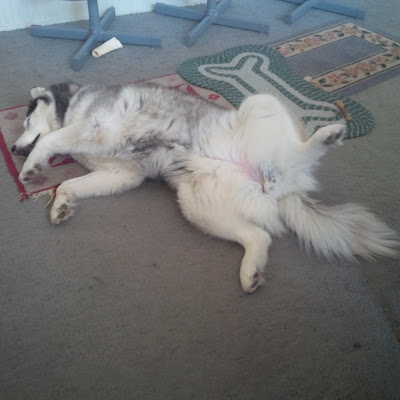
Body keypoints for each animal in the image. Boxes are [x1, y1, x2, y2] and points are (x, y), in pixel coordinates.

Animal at [12, 82, 398, 293]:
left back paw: (327, 136)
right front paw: (61, 202)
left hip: (261, 103)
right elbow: (70, 183)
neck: (74, 105)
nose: (14, 149)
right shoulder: (121, 174)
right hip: (197, 205)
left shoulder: (100, 131)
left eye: (26, 120)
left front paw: (32, 167)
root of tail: (279, 187)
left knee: (300, 151)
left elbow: (52, 140)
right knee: (260, 236)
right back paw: (251, 269)